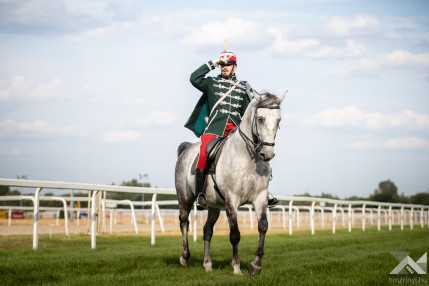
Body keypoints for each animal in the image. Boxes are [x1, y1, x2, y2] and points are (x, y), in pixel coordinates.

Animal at [172, 90, 282, 276]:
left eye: (278, 120)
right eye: (260, 118)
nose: (267, 154)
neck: (248, 158)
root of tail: (186, 149)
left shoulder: (260, 198)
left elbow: (263, 226)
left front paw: (256, 265)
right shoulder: (232, 200)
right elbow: (235, 234)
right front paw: (236, 266)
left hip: (214, 206)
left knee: (207, 230)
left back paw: (207, 263)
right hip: (184, 199)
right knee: (184, 222)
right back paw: (185, 257)